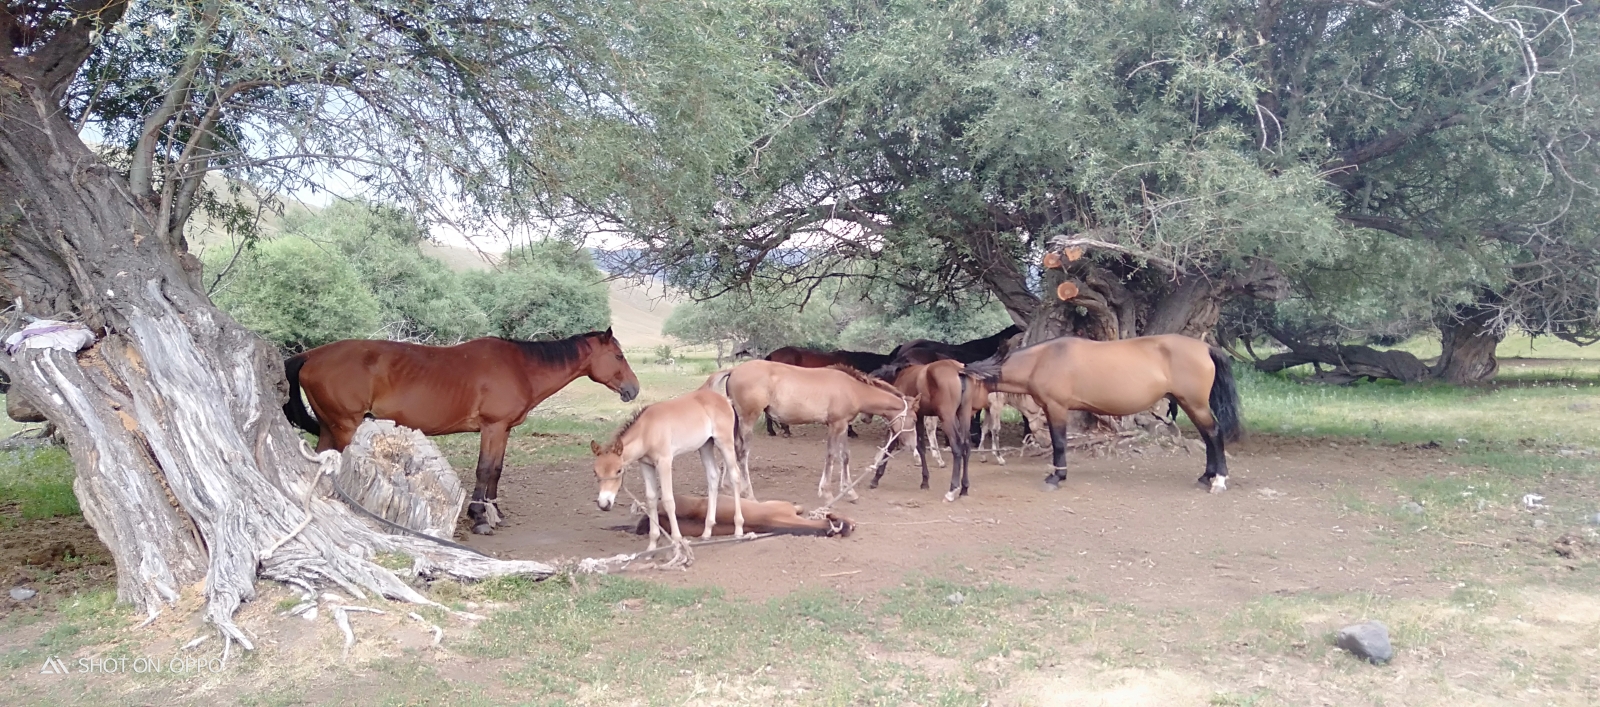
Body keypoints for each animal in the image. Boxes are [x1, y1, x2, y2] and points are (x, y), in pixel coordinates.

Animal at [283, 328, 640, 535]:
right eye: (618, 355)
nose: (633, 389)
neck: (520, 368)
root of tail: (311, 355)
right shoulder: (492, 427)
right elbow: (484, 470)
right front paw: (480, 518)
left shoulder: (503, 431)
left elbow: (496, 470)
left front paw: (494, 512)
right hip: (345, 426)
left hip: (330, 428)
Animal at [591, 381, 747, 565]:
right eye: (595, 472)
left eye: (619, 470)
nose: (604, 504)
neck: (647, 431)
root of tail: (726, 400)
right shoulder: (645, 464)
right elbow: (651, 499)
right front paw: (651, 548)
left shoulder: (664, 462)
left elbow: (668, 500)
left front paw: (677, 544)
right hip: (705, 445)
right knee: (713, 476)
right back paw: (707, 531)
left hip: (724, 442)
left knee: (735, 475)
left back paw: (738, 530)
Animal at [719, 361, 914, 502]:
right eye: (913, 418)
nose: (911, 445)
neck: (852, 389)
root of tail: (733, 370)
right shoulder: (835, 425)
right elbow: (831, 455)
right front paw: (827, 493)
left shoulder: (843, 425)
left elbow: (845, 456)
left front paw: (849, 492)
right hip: (748, 421)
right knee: (742, 454)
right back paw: (748, 494)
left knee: (732, 449)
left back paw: (729, 487)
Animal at [866, 360, 983, 501]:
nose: (865, 419)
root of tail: (958, 370)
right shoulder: (919, 416)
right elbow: (921, 446)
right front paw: (925, 481)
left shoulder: (902, 420)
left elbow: (890, 446)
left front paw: (876, 478)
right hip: (964, 414)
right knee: (966, 446)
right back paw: (964, 488)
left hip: (948, 417)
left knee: (957, 447)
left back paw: (952, 490)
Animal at [966, 334, 1242, 493]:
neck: (1043, 360)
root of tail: (1205, 347)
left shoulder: (1057, 408)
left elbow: (1059, 442)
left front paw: (1057, 477)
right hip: (1190, 404)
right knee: (1208, 436)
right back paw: (1206, 477)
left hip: (1195, 403)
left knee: (1213, 434)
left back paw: (1219, 480)